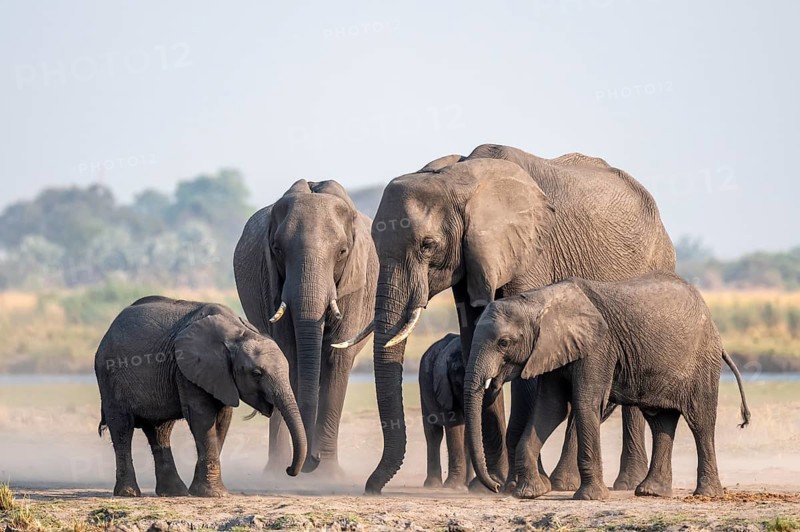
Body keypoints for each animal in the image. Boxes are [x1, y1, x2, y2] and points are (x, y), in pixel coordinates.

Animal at [95, 296, 306, 497]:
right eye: (256, 373)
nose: (288, 469)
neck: (239, 332)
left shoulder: (220, 377)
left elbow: (222, 420)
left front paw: (202, 491)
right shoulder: (188, 368)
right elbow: (202, 418)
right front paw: (213, 494)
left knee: (160, 430)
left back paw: (174, 492)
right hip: (109, 378)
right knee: (122, 428)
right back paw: (129, 493)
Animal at [234, 179, 378, 476]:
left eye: (342, 252)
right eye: (277, 249)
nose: (312, 460)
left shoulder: (354, 282)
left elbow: (336, 357)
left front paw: (328, 475)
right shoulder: (271, 280)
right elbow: (291, 354)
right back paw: (275, 469)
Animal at [418, 333, 474, 489]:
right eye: (457, 384)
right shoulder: (445, 389)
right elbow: (455, 425)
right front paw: (454, 487)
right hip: (424, 390)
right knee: (433, 433)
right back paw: (432, 486)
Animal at [464, 273, 751, 500]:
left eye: (503, 343)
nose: (495, 486)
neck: (539, 300)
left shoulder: (598, 347)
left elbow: (585, 403)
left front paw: (589, 498)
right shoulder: (554, 350)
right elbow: (551, 408)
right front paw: (530, 493)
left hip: (702, 361)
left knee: (700, 421)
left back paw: (706, 494)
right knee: (661, 422)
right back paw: (651, 492)